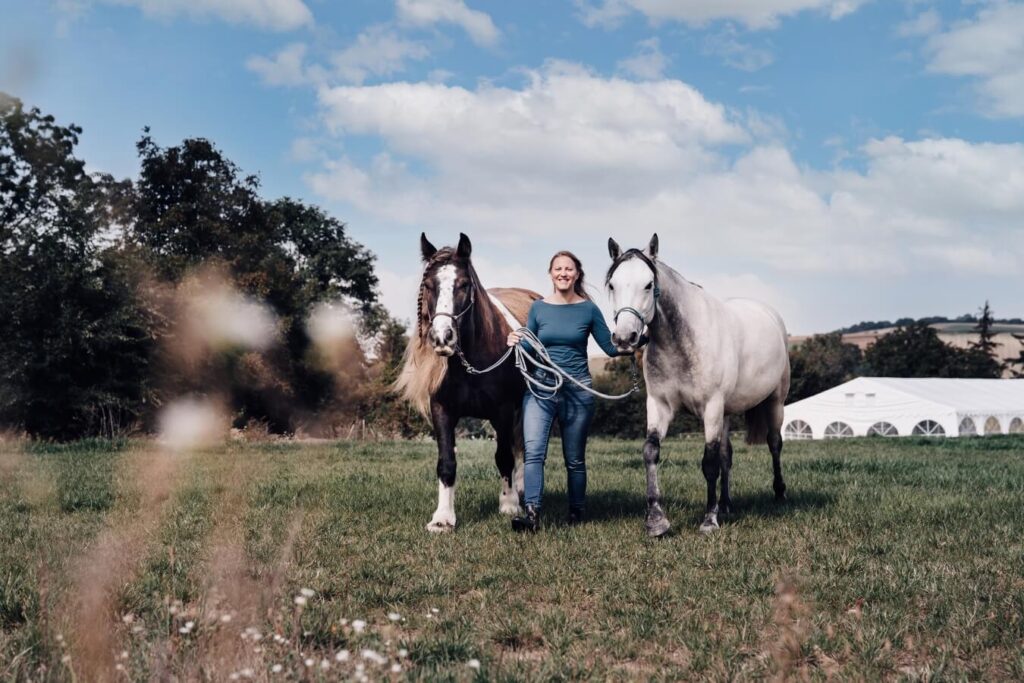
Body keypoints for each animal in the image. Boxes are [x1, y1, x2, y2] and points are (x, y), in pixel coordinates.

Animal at [391, 232, 540, 532]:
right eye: (428, 285)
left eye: (464, 284)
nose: (442, 337)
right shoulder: (442, 411)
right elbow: (447, 462)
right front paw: (443, 518)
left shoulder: (503, 411)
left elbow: (504, 457)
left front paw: (508, 504)